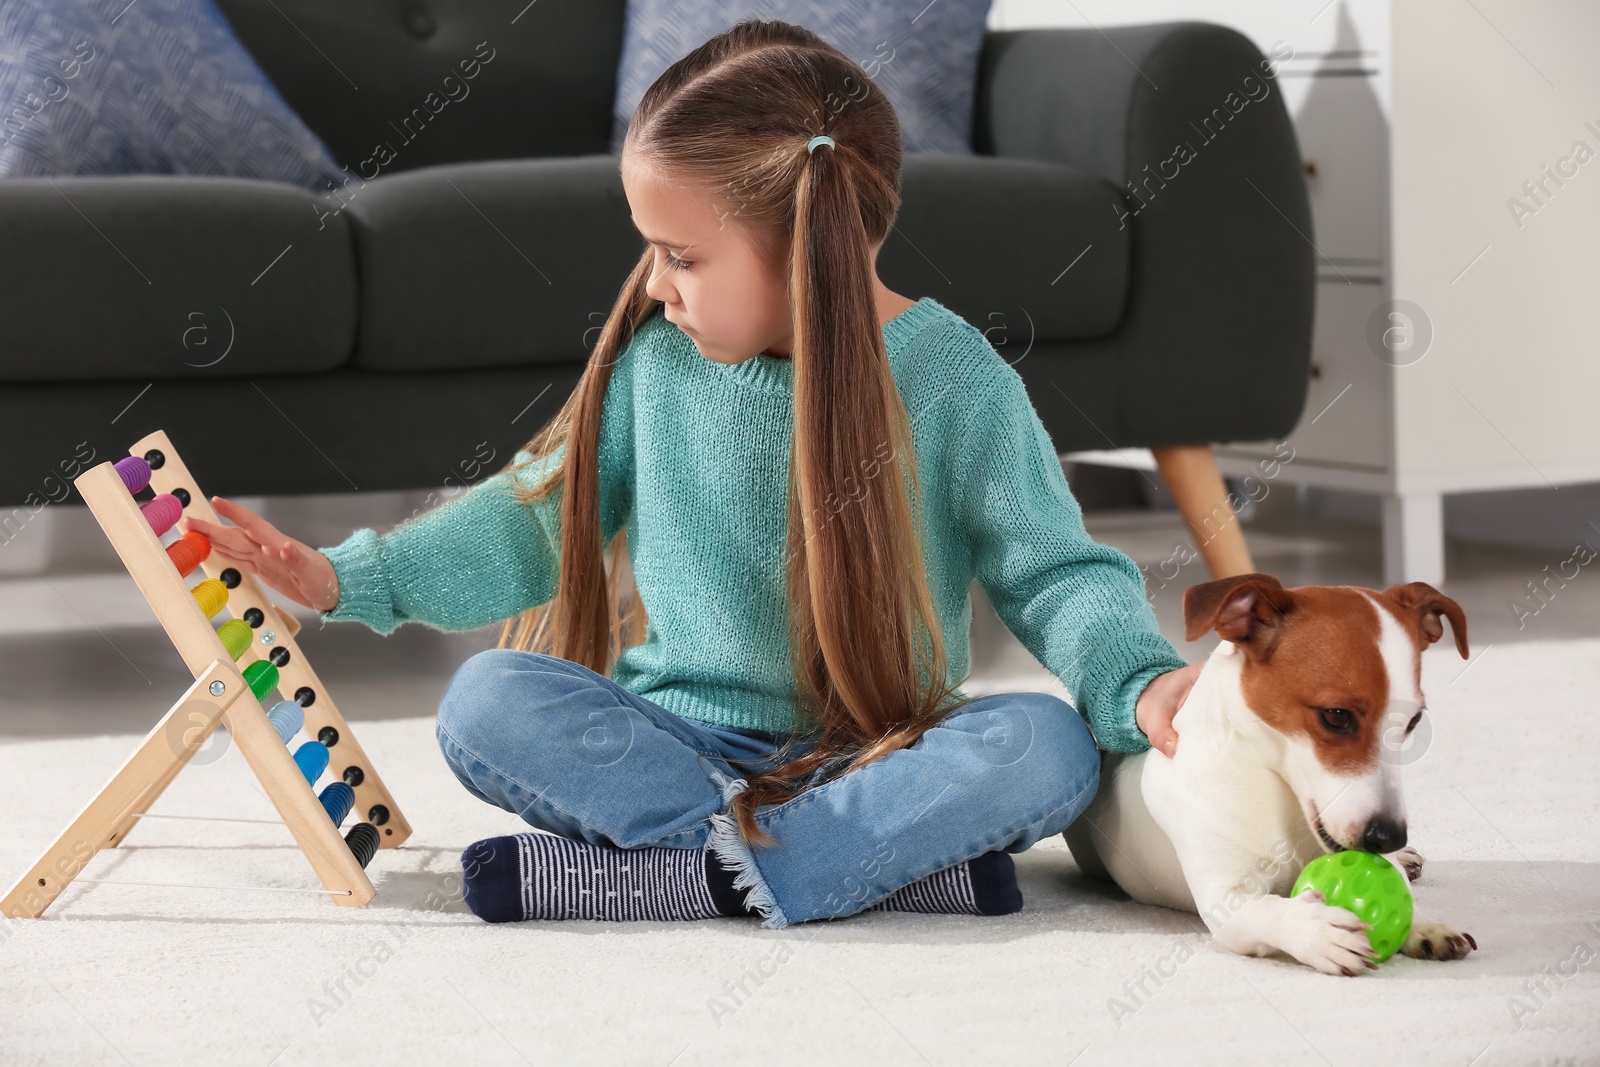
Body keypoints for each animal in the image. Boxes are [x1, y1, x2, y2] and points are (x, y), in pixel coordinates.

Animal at [1068, 575, 1478, 979]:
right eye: (1336, 716)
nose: (1389, 837)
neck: (1274, 789)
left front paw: (1423, 924)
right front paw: (1315, 929)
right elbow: (1265, 909)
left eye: (1414, 721)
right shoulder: (1223, 898)